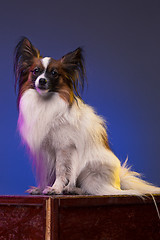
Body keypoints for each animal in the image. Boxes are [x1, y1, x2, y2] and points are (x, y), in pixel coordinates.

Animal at [14, 37, 160, 195]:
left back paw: (73, 189)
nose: (42, 80)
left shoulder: (63, 148)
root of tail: (118, 181)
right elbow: (47, 173)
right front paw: (41, 188)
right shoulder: (44, 152)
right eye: (36, 71)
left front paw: (55, 188)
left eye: (54, 73)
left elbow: (61, 171)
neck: (45, 102)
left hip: (89, 173)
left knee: (93, 190)